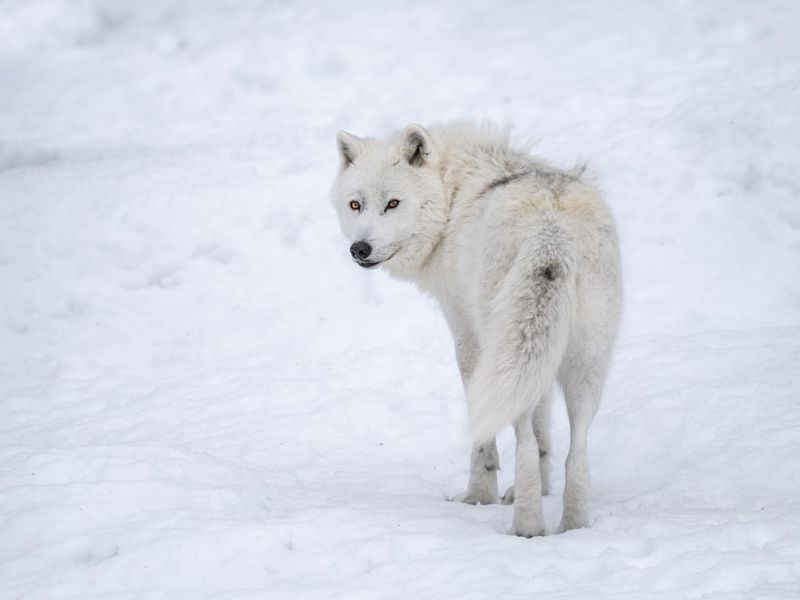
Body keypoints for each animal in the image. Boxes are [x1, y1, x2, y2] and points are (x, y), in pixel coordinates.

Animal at [328, 120, 620, 536]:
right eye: (356, 205)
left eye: (393, 204)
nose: (360, 249)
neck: (453, 197)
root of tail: (552, 230)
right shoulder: (539, 359)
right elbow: (545, 432)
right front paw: (542, 489)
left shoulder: (468, 338)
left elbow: (488, 438)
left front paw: (478, 496)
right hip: (582, 364)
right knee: (577, 450)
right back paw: (572, 528)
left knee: (524, 443)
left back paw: (527, 528)